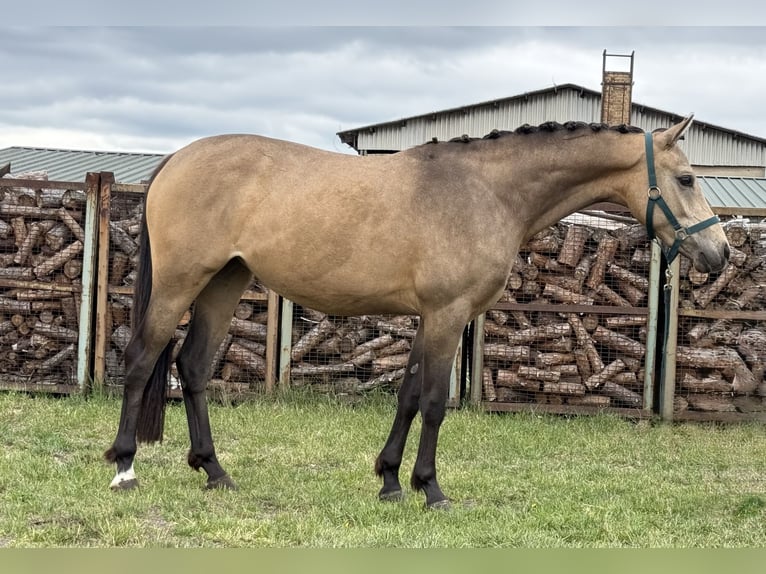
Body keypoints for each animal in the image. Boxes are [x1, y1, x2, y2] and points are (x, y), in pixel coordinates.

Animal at [105, 115, 729, 509]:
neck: (485, 190)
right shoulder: (449, 315)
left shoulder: (430, 318)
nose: (720, 253)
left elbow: (406, 397)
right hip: (181, 283)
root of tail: (176, 159)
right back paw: (124, 468)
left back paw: (215, 472)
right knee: (141, 359)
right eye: (687, 178)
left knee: (192, 367)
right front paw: (430, 489)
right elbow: (432, 403)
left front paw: (389, 481)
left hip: (224, 283)